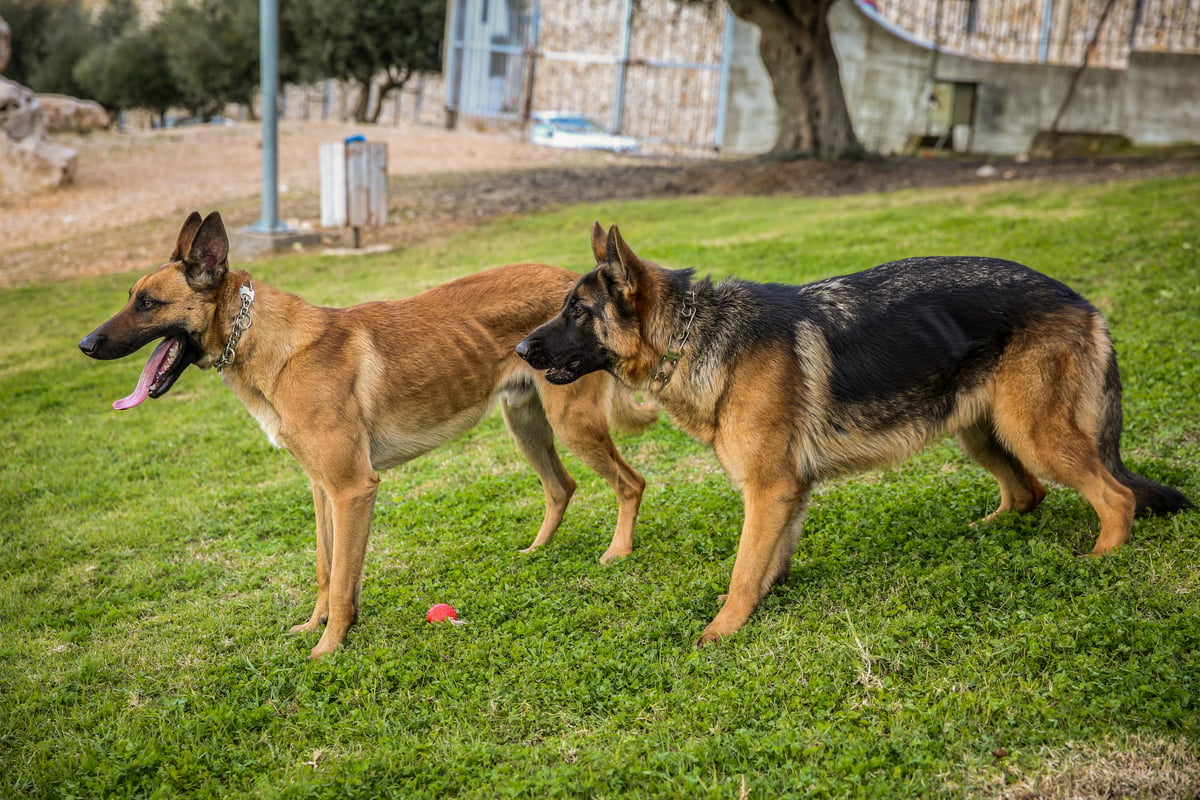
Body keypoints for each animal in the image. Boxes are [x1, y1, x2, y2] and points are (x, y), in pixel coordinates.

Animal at [82, 212, 657, 657]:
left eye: (148, 304)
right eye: (130, 297)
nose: (86, 344)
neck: (270, 344)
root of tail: (573, 283)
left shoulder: (353, 488)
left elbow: (340, 581)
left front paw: (327, 648)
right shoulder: (323, 490)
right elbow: (327, 568)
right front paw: (317, 627)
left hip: (572, 425)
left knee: (631, 483)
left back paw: (618, 553)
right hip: (526, 426)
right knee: (562, 487)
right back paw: (536, 552)